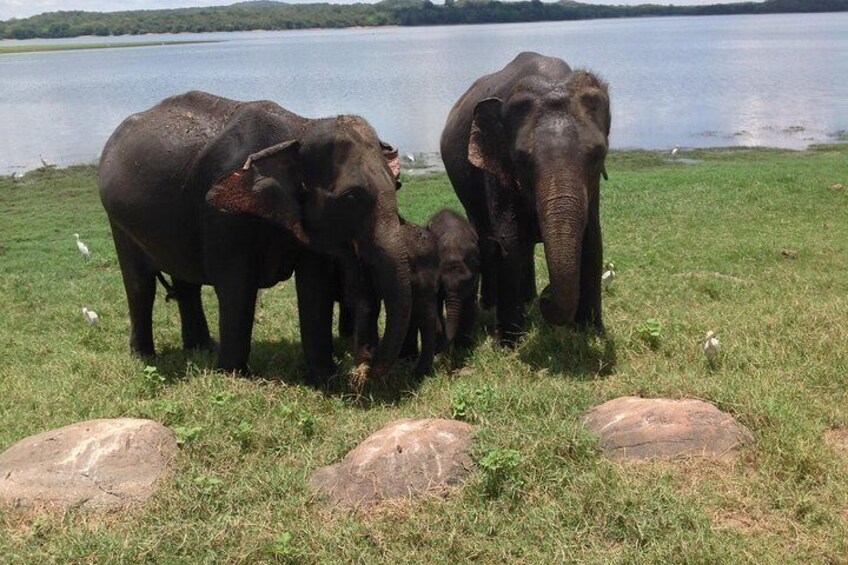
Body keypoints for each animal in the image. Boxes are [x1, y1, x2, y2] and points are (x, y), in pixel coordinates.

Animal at [99, 91, 410, 384]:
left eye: (397, 186)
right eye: (351, 198)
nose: (364, 365)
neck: (298, 129)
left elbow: (314, 284)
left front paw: (325, 378)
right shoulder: (221, 212)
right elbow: (237, 284)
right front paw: (232, 375)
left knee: (186, 283)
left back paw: (202, 348)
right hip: (118, 221)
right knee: (140, 284)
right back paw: (145, 355)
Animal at [440, 51, 612, 344]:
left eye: (598, 154)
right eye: (521, 158)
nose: (547, 294)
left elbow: (592, 238)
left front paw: (592, 332)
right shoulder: (496, 169)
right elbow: (509, 240)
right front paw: (508, 344)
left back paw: (529, 299)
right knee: (487, 239)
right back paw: (493, 305)